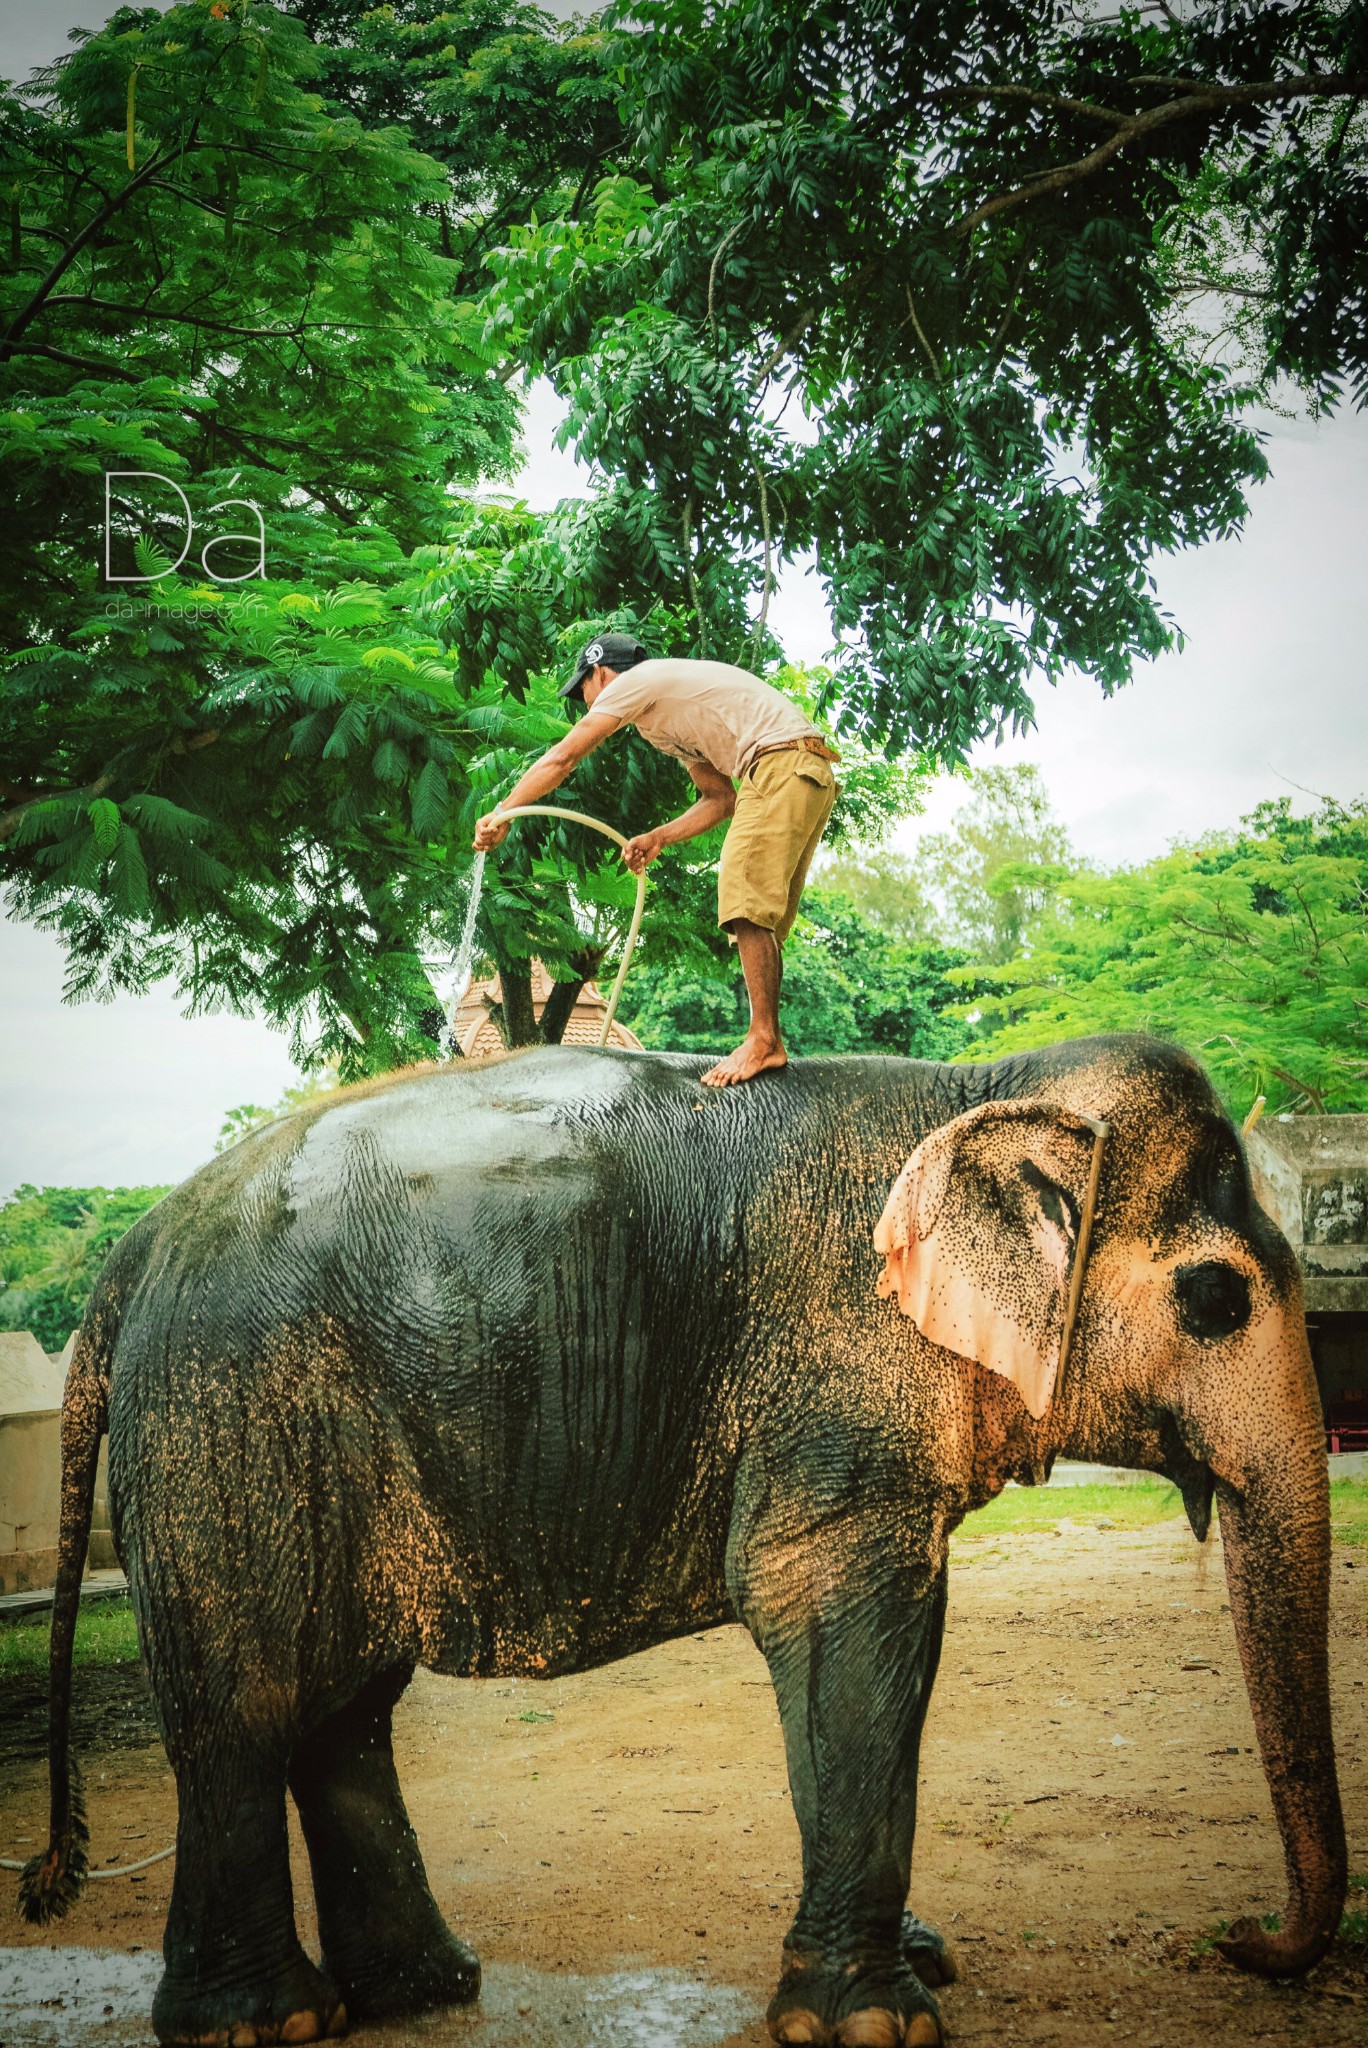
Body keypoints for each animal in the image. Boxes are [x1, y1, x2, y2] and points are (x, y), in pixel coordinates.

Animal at [21, 1040, 1343, 2048]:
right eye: (1217, 1298)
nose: (1242, 1935)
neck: (985, 1085)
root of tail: (132, 1253)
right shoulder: (833, 1386)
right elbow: (845, 1623)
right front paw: (876, 2023)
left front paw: (923, 1960)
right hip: (227, 1424)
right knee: (244, 1699)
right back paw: (262, 2023)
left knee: (341, 1702)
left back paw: (423, 1991)